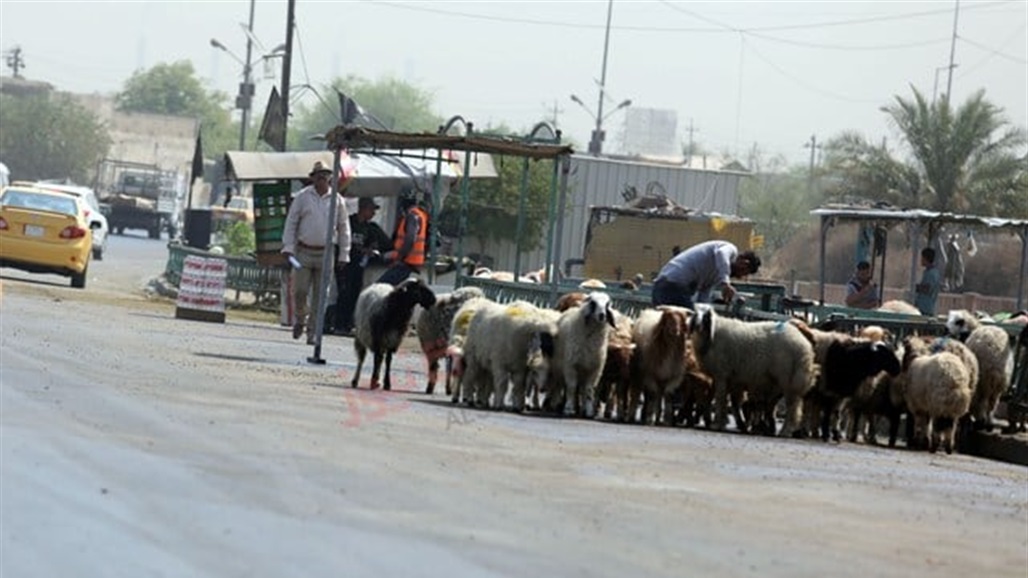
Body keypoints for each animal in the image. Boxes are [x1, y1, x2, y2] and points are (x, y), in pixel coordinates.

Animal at [690, 308, 818, 434]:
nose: (697, 325)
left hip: (790, 379)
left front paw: (717, 424)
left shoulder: (721, 374)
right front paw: (728, 422)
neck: (713, 335)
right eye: (696, 315)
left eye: (705, 317)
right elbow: (732, 402)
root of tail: (806, 345)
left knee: (792, 407)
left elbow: (720, 399)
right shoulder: (732, 379)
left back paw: (785, 430)